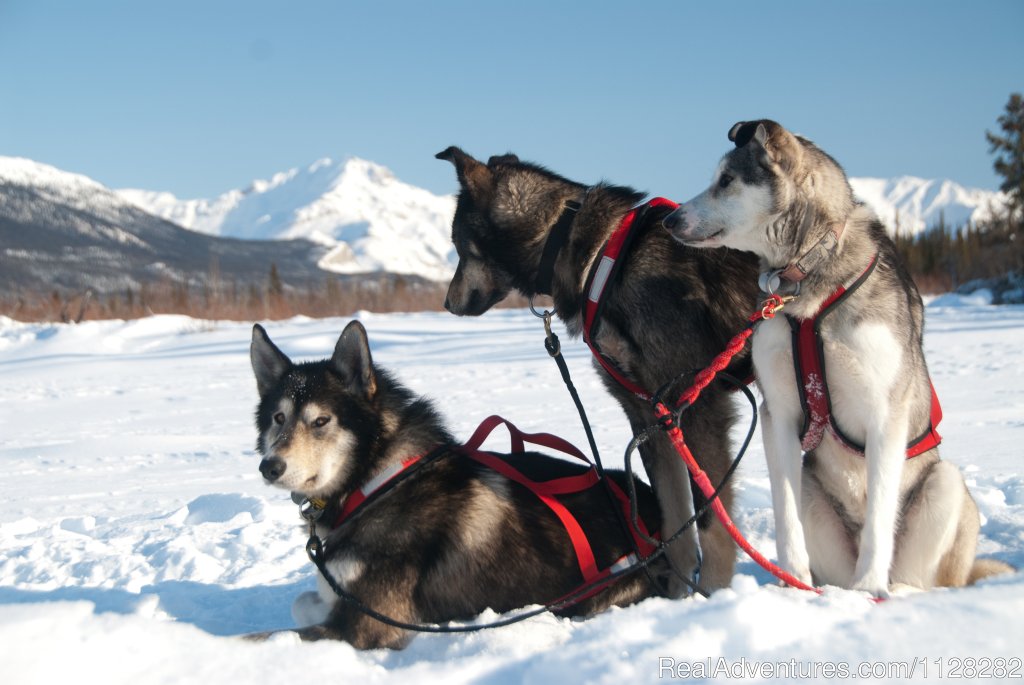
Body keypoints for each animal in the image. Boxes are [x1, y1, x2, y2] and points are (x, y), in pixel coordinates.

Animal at [247, 321, 663, 647]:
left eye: (321, 421)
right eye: (278, 418)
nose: (269, 467)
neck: (377, 480)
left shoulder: (367, 625)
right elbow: (303, 600)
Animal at [434, 147, 761, 593]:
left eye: (459, 246)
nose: (447, 303)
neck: (601, 257)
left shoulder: (694, 407)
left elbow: (712, 523)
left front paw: (714, 595)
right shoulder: (647, 413)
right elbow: (675, 526)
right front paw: (679, 597)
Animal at [663, 118, 1007, 593]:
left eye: (726, 180)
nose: (669, 218)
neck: (806, 280)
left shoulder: (886, 413)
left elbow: (880, 515)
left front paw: (867, 589)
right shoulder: (779, 413)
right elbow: (786, 519)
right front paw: (792, 585)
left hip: (945, 485)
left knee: (913, 569)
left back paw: (882, 591)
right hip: (815, 493)